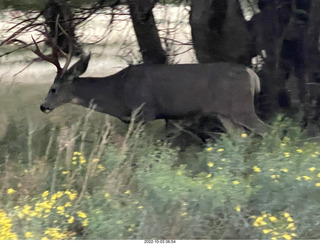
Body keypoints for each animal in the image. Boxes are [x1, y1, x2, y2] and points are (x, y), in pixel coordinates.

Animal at [34, 46, 270, 135]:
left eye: (53, 89)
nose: (43, 107)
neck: (117, 92)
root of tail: (251, 74)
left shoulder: (143, 111)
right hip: (225, 113)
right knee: (240, 138)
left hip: (241, 107)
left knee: (266, 130)